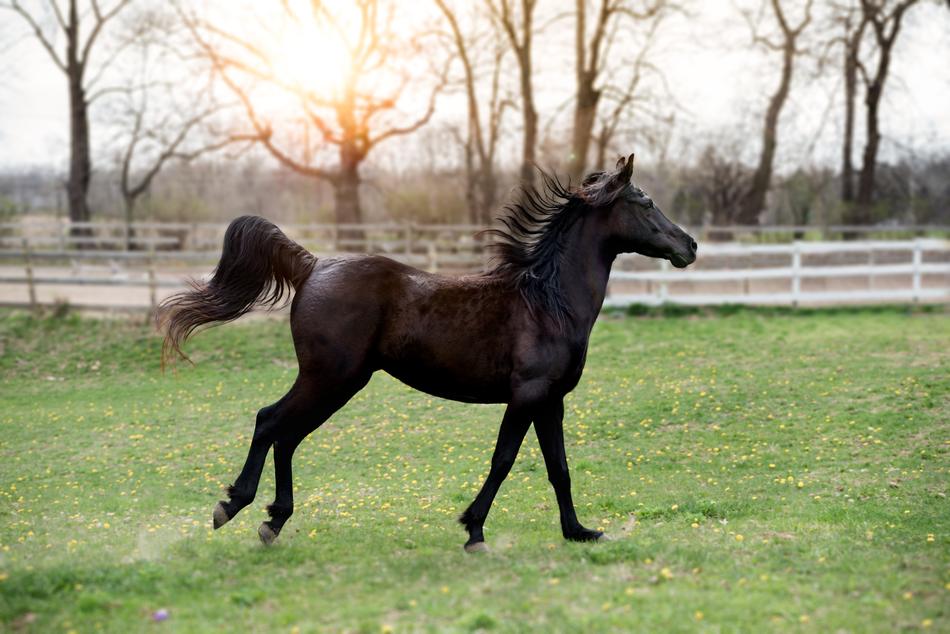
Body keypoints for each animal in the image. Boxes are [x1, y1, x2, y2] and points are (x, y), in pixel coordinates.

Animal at [158, 154, 697, 552]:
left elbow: (558, 467)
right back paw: (233, 507)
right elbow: (504, 459)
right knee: (271, 422)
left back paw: (272, 521)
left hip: (333, 382)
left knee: (286, 434)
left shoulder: (552, 400)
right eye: (645, 201)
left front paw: (579, 532)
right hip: (331, 378)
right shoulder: (526, 395)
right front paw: (474, 530)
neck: (549, 302)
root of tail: (313, 266)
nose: (689, 246)